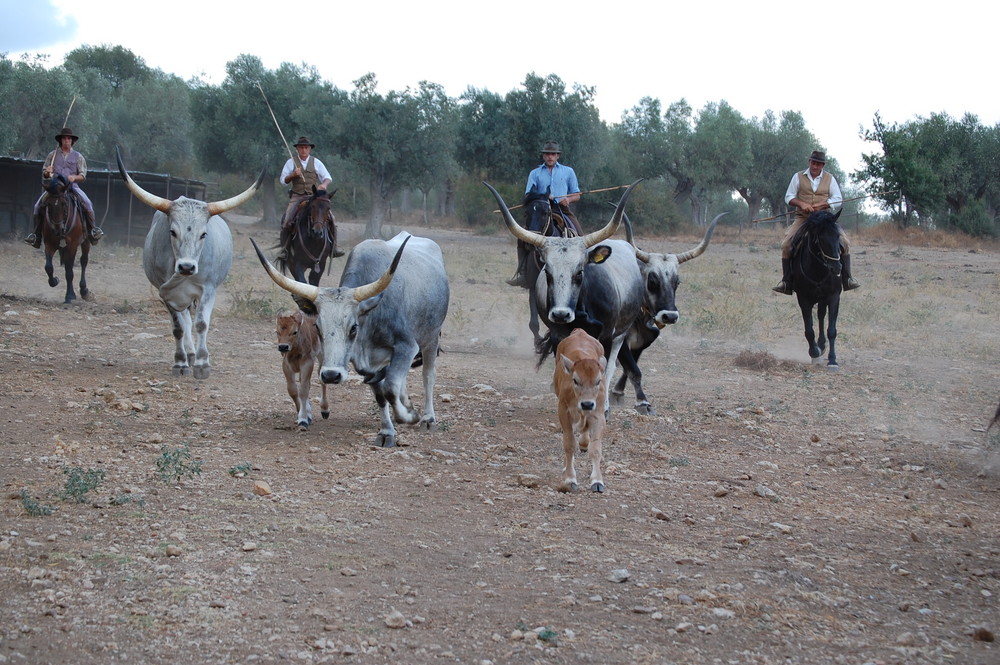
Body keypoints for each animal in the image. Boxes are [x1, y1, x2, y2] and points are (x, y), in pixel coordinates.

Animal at [39, 174, 91, 304]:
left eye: (63, 203)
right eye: (48, 204)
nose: (58, 229)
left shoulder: (72, 246)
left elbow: (69, 271)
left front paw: (70, 296)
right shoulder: (49, 244)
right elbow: (48, 267)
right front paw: (54, 281)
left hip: (86, 242)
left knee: (83, 261)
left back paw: (84, 291)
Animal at [116, 148, 264, 382]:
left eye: (203, 234)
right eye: (172, 231)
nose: (186, 267)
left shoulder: (208, 290)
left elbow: (202, 323)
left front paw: (203, 364)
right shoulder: (165, 293)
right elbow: (178, 328)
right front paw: (180, 362)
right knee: (185, 321)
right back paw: (190, 353)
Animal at [552, 328, 604, 490]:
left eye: (598, 381)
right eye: (575, 380)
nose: (587, 404)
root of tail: (580, 331)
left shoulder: (598, 413)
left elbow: (595, 449)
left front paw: (597, 481)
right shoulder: (563, 411)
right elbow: (569, 445)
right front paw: (570, 478)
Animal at [788, 209, 844, 368]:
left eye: (838, 236)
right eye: (822, 239)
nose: (837, 268)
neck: (818, 270)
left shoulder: (834, 297)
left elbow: (832, 330)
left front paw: (832, 360)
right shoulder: (803, 299)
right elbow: (809, 330)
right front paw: (814, 353)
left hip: (823, 299)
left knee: (821, 315)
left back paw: (822, 345)